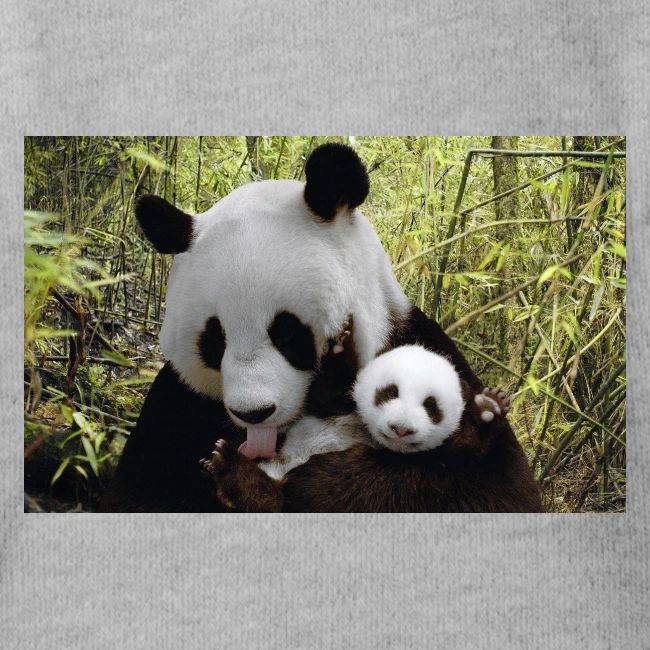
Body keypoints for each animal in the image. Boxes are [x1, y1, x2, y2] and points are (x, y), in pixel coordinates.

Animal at [100, 143, 541, 512]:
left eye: (287, 333)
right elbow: (137, 493)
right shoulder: (177, 405)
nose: (254, 413)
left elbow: (488, 489)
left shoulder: (421, 347)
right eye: (215, 340)